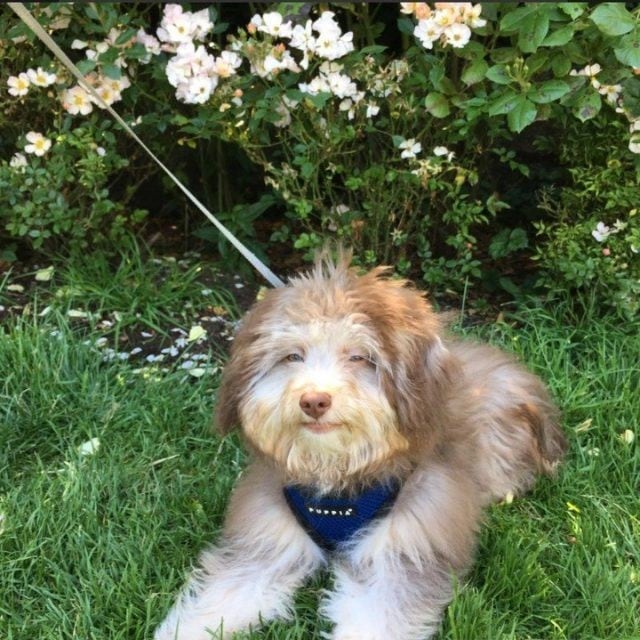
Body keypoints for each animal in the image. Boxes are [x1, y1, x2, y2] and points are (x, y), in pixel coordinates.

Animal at [155, 251, 564, 640]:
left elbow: (379, 617)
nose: (314, 401)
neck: (339, 479)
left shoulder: (403, 550)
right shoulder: (263, 542)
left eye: (359, 357)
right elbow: (223, 598)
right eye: (292, 356)